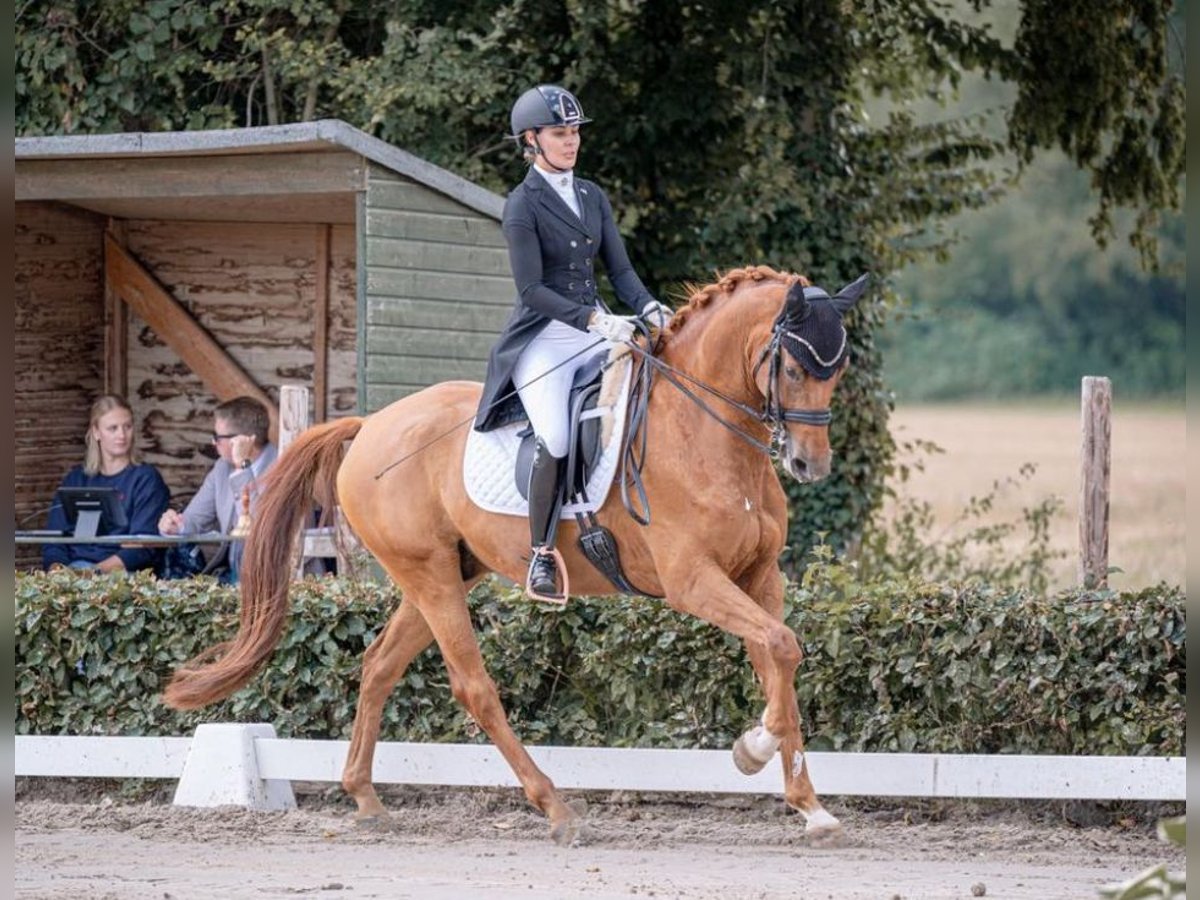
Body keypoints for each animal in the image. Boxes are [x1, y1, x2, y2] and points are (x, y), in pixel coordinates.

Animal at [166, 264, 864, 844]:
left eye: (837, 370)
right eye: (794, 368)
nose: (810, 464)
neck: (704, 434)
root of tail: (369, 427)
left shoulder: (758, 577)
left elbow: (779, 656)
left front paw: (808, 804)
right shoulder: (692, 580)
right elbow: (782, 648)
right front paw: (754, 749)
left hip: (444, 574)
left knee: (379, 665)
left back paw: (364, 796)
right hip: (428, 573)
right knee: (473, 686)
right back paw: (554, 807)